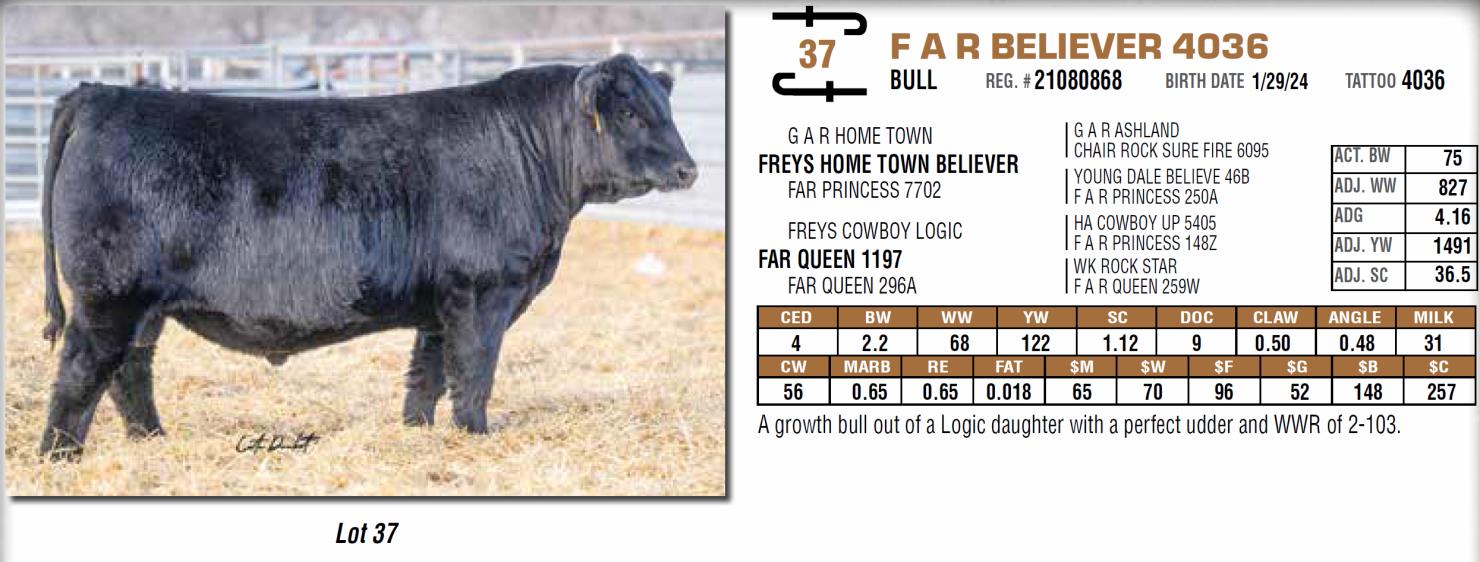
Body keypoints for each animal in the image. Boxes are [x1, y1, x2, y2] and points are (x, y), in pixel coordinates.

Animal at [37, 53, 697, 460]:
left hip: (143, 306)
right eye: (629, 113)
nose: (688, 169)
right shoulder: (484, 294)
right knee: (82, 372)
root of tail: (101, 94)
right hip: (108, 296)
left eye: (664, 108)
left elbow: (428, 376)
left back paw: (153, 440)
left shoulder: (441, 304)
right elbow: (474, 373)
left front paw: (420, 433)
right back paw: (59, 457)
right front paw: (477, 436)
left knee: (130, 372)